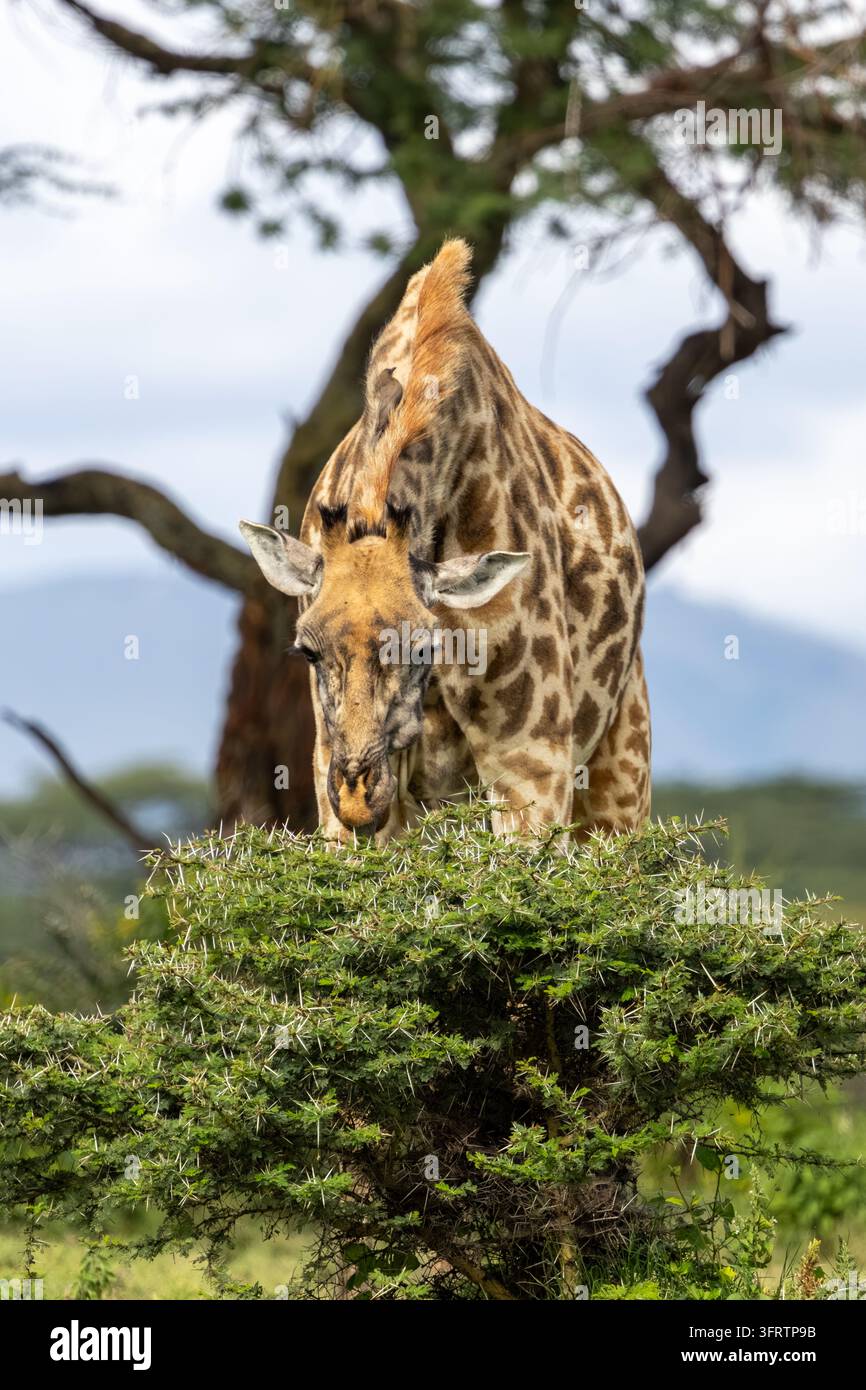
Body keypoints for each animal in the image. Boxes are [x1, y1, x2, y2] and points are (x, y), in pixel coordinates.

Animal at [240, 239, 650, 842]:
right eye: (307, 650)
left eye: (421, 646)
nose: (359, 798)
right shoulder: (328, 765)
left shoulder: (531, 755)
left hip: (621, 762)